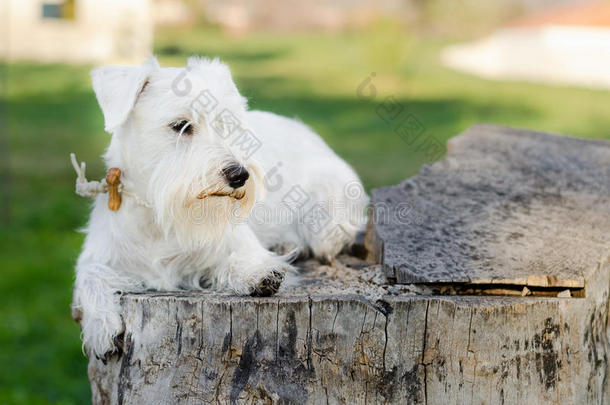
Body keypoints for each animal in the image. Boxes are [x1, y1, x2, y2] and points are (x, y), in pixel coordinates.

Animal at [71, 55, 366, 358]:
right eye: (181, 125)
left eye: (227, 124)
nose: (239, 175)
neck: (159, 215)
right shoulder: (98, 257)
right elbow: (90, 278)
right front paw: (101, 328)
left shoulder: (234, 242)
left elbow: (238, 258)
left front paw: (255, 274)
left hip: (326, 216)